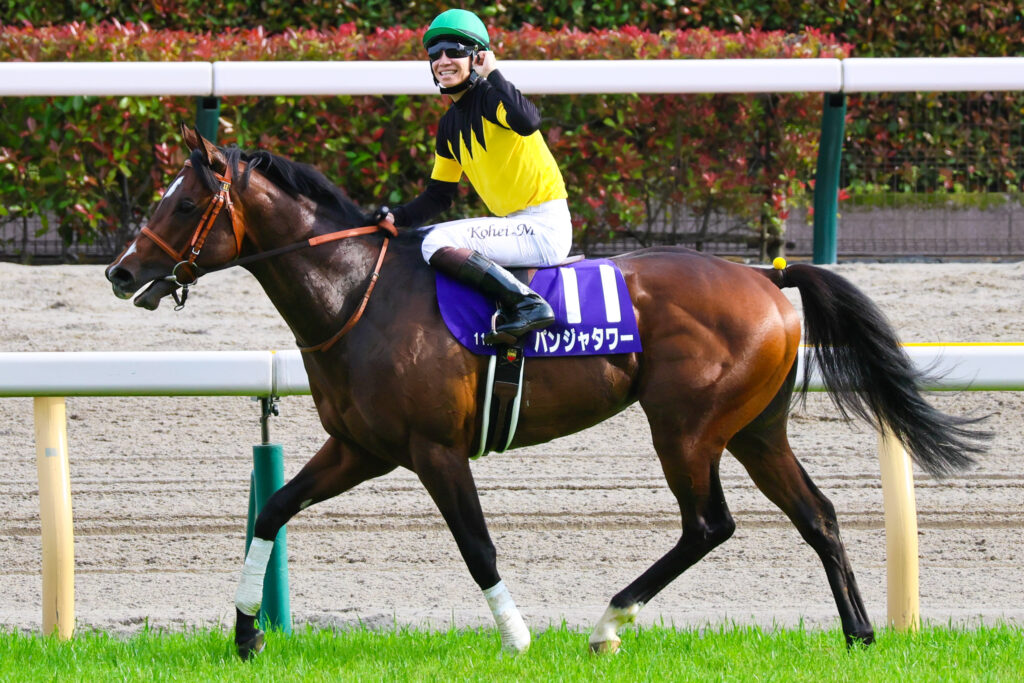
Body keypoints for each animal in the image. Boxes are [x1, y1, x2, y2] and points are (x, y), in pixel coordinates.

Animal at [105, 125, 987, 658]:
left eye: (186, 202)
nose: (119, 270)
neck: (358, 292)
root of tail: (767, 276)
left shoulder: (434, 450)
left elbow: (477, 544)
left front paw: (518, 638)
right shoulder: (359, 446)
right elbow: (272, 509)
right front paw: (246, 632)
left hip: (685, 426)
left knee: (709, 523)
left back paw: (608, 622)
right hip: (754, 429)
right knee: (818, 515)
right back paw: (860, 633)